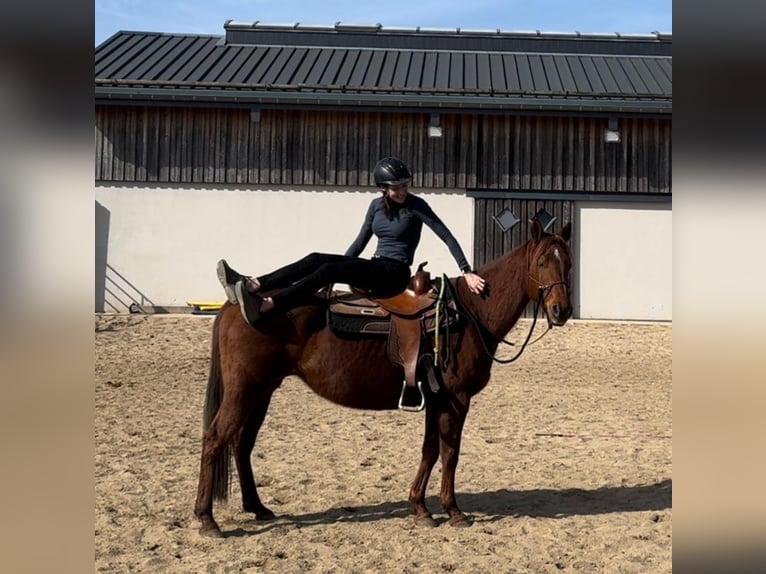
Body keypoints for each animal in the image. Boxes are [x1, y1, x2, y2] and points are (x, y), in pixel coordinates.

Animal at [194, 219, 573, 537]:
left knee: (241, 444)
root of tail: (235, 307)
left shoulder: (435, 398)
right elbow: (450, 451)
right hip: (244, 391)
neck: (468, 313)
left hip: (262, 391)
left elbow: (430, 449)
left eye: (567, 263)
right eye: (542, 262)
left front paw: (420, 508)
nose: (562, 310)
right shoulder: (457, 398)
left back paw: (257, 507)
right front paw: (453, 511)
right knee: (215, 439)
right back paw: (206, 518)